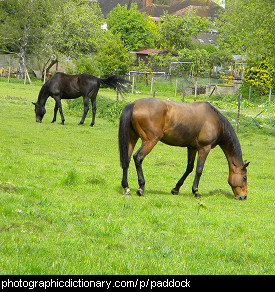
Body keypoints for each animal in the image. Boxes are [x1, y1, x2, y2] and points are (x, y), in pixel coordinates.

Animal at [118, 98, 250, 201]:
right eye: (244, 177)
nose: (243, 197)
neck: (215, 121)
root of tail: (134, 104)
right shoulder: (204, 148)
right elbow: (199, 170)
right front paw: (196, 192)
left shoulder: (192, 147)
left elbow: (189, 168)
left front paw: (176, 189)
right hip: (149, 141)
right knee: (138, 158)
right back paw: (141, 187)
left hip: (132, 138)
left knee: (126, 160)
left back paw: (126, 188)